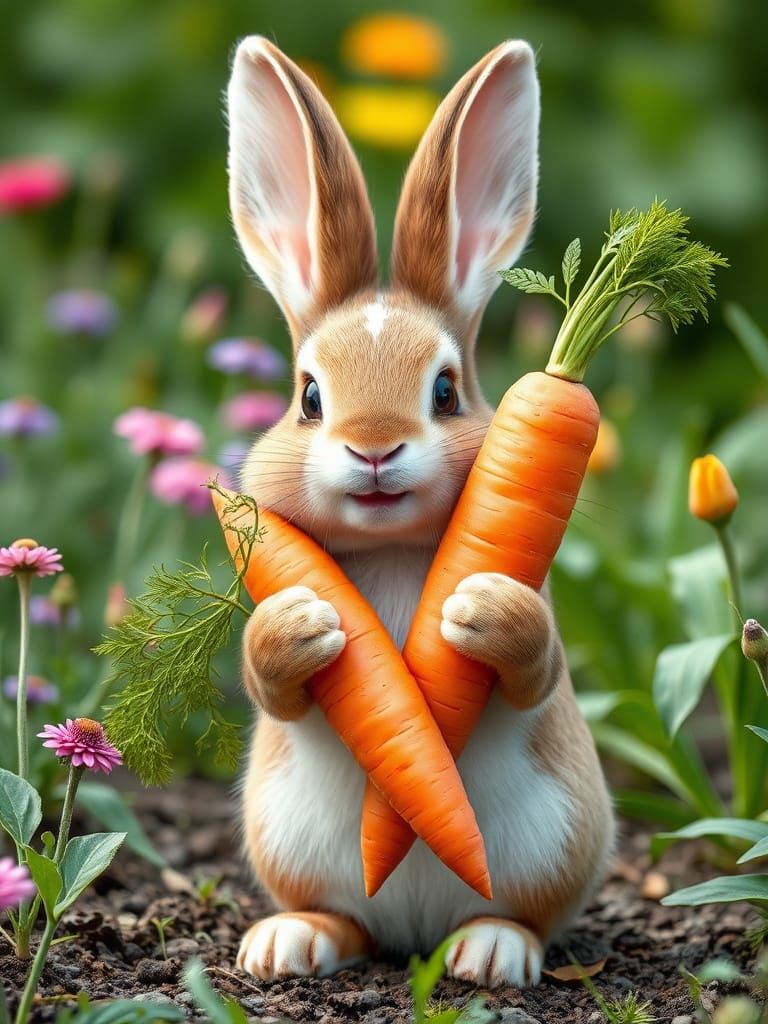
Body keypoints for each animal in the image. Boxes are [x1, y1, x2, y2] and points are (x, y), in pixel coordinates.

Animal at [226, 35, 615, 988]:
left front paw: (478, 609)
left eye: (444, 391)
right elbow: (267, 679)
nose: (374, 450)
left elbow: (536, 660)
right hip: (287, 839)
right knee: (340, 917)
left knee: (520, 917)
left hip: (558, 843)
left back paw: (489, 954)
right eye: (309, 397)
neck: (397, 551)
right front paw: (304, 623)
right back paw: (291, 944)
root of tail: (412, 932)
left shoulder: (543, 634)